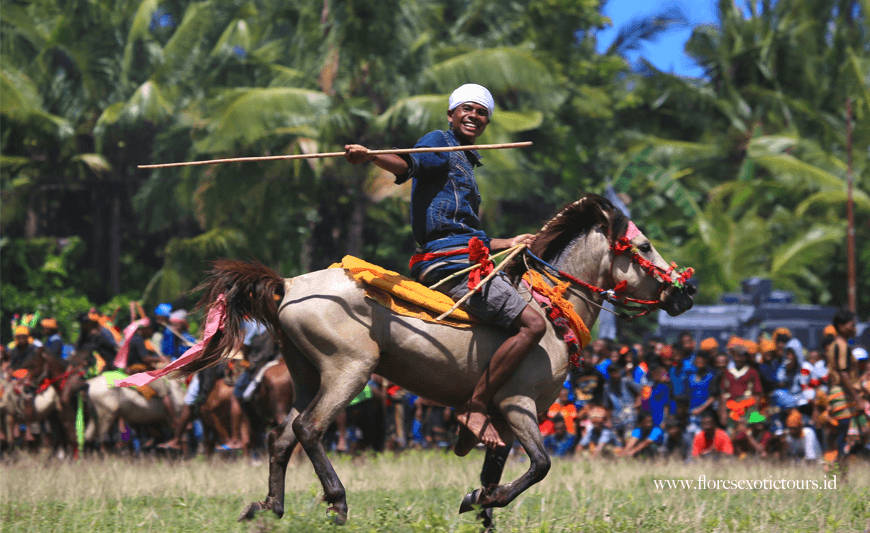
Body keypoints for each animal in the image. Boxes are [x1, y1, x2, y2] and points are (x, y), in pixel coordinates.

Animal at [177, 194, 696, 524]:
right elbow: (539, 465)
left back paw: (270, 508)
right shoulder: (517, 406)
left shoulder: (502, 419)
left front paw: (484, 502)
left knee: (281, 438)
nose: (685, 292)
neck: (551, 310)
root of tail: (288, 285)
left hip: (305, 377)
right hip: (349, 370)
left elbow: (498, 466)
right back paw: (337, 502)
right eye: (644, 246)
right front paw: (480, 498)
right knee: (310, 429)